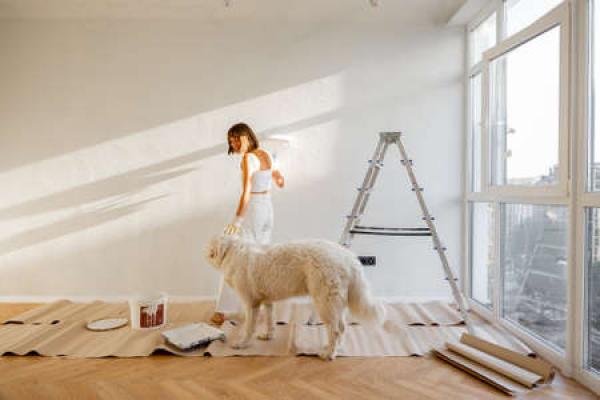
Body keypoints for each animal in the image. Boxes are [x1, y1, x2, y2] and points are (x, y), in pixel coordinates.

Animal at [205, 236, 384, 360]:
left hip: (324, 302)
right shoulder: (267, 301)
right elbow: (270, 320)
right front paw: (267, 336)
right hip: (335, 304)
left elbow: (248, 327)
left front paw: (242, 344)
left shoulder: (251, 304)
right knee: (342, 328)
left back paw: (328, 354)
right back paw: (334, 349)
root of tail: (348, 257)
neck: (233, 252)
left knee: (335, 330)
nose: (205, 252)